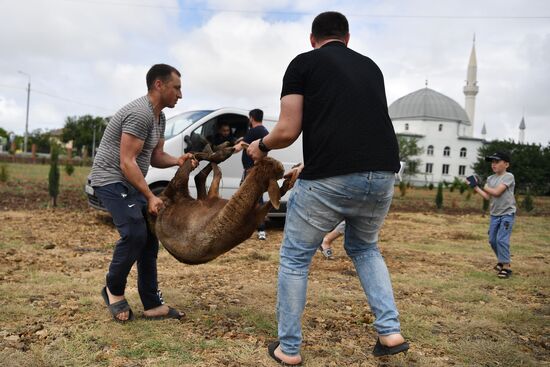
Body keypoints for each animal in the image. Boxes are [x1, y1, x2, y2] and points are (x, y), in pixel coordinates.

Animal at [149, 145, 296, 266]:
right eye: (271, 163)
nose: (282, 167)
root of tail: (163, 198)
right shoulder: (215, 199)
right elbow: (216, 172)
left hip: (184, 190)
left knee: (197, 173)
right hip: (179, 184)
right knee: (192, 165)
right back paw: (220, 152)